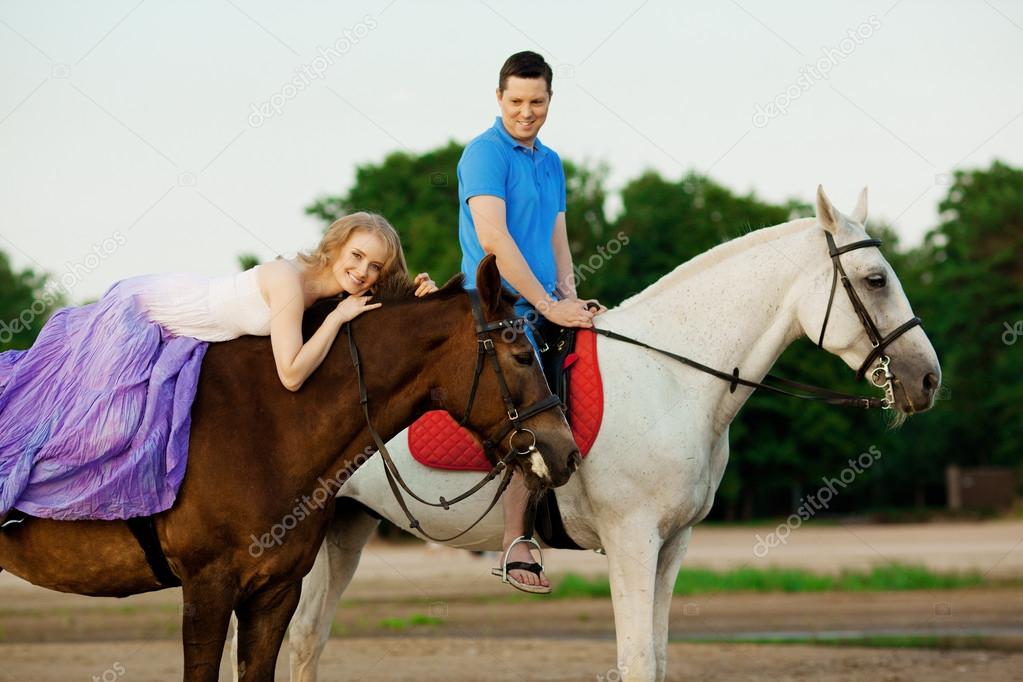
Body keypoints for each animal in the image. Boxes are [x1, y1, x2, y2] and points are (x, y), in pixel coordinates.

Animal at [274, 187, 941, 682]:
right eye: (876, 279)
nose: (927, 378)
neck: (670, 375)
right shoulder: (631, 539)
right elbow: (637, 660)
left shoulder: (672, 545)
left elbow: (659, 660)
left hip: (346, 527)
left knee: (306, 640)